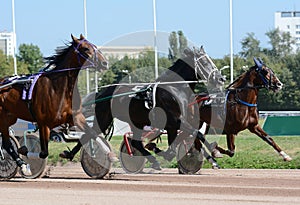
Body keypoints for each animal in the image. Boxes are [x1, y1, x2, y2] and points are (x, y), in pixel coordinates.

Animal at [0, 34, 110, 175]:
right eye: (86, 48)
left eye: (95, 46)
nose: (105, 63)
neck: (59, 88)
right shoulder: (43, 124)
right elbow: (43, 152)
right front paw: (24, 151)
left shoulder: (75, 117)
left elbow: (91, 133)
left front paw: (107, 153)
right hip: (2, 118)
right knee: (7, 144)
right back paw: (22, 164)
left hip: (10, 117)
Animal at [60, 46, 225, 170]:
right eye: (205, 61)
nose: (221, 78)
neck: (174, 88)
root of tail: (102, 92)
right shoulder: (175, 120)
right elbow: (197, 134)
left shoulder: (174, 124)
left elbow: (184, 140)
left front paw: (213, 154)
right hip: (104, 117)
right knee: (89, 134)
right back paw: (72, 155)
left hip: (135, 121)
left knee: (135, 142)